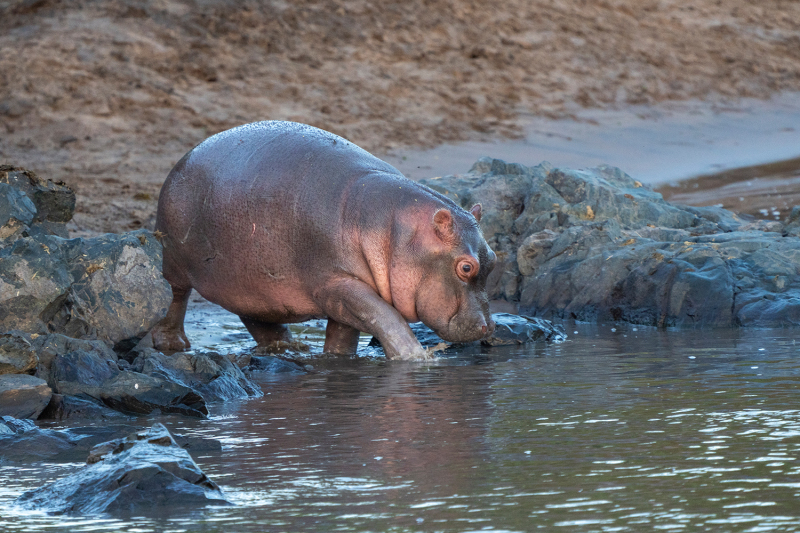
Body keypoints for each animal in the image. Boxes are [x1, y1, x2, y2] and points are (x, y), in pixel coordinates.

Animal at [150, 121, 496, 359]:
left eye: (493, 258)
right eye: (466, 267)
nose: (489, 327)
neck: (393, 229)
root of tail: (183, 158)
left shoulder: (343, 296)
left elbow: (345, 334)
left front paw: (336, 359)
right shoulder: (336, 284)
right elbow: (386, 317)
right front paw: (418, 359)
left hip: (247, 280)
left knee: (255, 316)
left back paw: (288, 347)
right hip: (174, 259)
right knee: (176, 295)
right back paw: (171, 344)